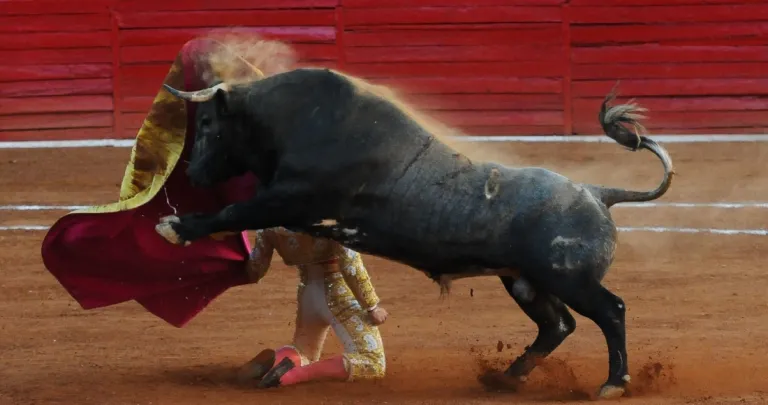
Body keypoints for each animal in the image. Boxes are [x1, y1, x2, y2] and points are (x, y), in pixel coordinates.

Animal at [159, 68, 676, 400]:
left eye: (208, 124)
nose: (195, 174)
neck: (298, 118)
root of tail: (598, 193)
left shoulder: (290, 195)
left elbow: (234, 210)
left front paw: (176, 227)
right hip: (523, 280)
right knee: (557, 325)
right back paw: (507, 378)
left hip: (569, 278)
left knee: (610, 311)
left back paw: (613, 383)